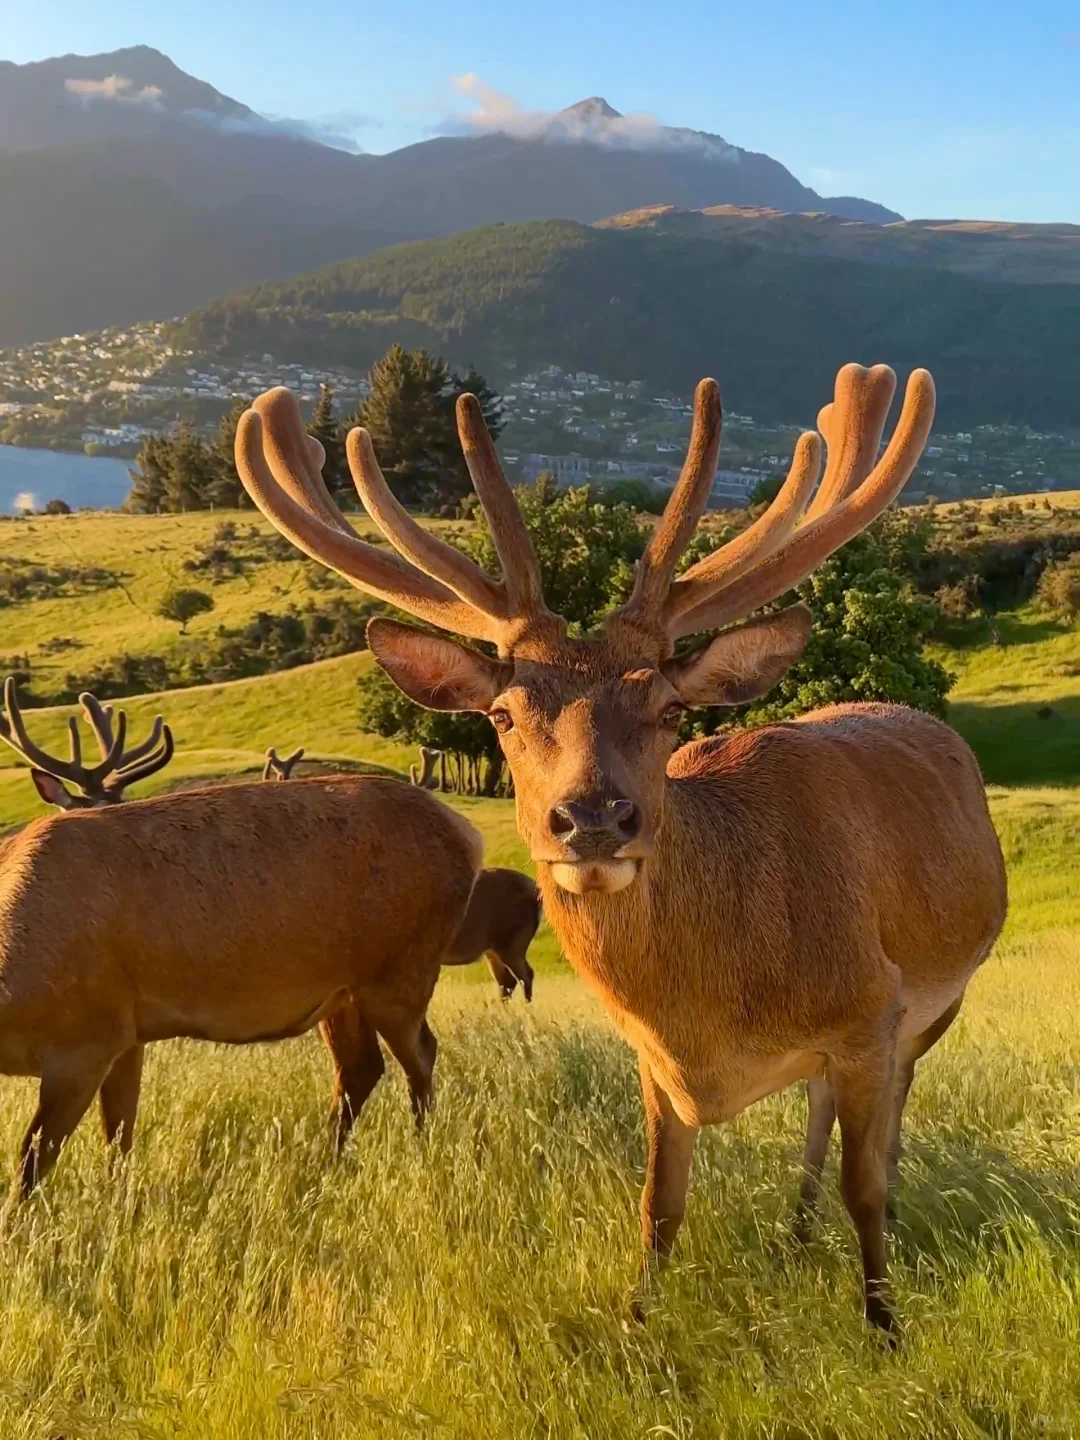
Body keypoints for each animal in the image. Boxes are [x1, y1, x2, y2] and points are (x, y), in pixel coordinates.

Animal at [234, 365, 1008, 1330]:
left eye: (671, 709)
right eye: (501, 715)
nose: (593, 817)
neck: (717, 1013)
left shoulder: (872, 1012)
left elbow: (864, 1185)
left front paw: (885, 1326)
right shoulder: (653, 1058)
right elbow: (658, 1203)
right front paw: (640, 1320)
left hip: (940, 1000)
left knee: (876, 1130)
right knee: (817, 1124)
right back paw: (795, 1241)